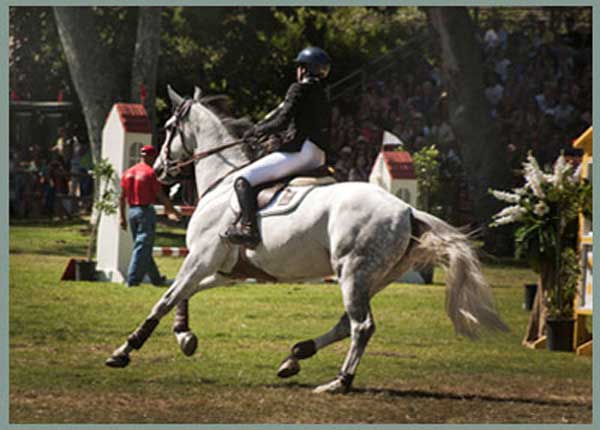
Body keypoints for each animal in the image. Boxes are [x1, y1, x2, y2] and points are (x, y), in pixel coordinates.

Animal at [106, 85, 506, 394]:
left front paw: (124, 351)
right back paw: (296, 356)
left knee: (361, 326)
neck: (223, 179)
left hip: (353, 272)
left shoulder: (202, 257)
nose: (159, 169)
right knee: (347, 324)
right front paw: (184, 336)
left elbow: (165, 299)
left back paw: (338, 382)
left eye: (169, 127)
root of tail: (407, 210)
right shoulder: (222, 269)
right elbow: (183, 296)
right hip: (375, 277)